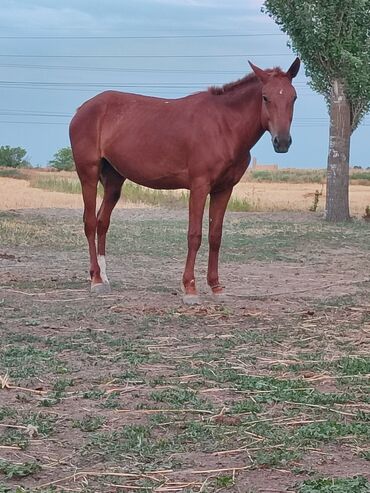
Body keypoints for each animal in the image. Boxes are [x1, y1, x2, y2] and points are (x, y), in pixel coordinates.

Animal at [69, 57, 300, 304]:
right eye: (265, 97)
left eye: (293, 97)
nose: (282, 142)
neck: (223, 126)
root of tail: (82, 109)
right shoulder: (199, 186)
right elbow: (194, 235)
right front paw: (190, 288)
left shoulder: (224, 190)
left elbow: (215, 236)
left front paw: (216, 287)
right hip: (88, 174)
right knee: (90, 222)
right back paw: (96, 280)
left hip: (114, 181)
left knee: (102, 222)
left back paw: (104, 277)